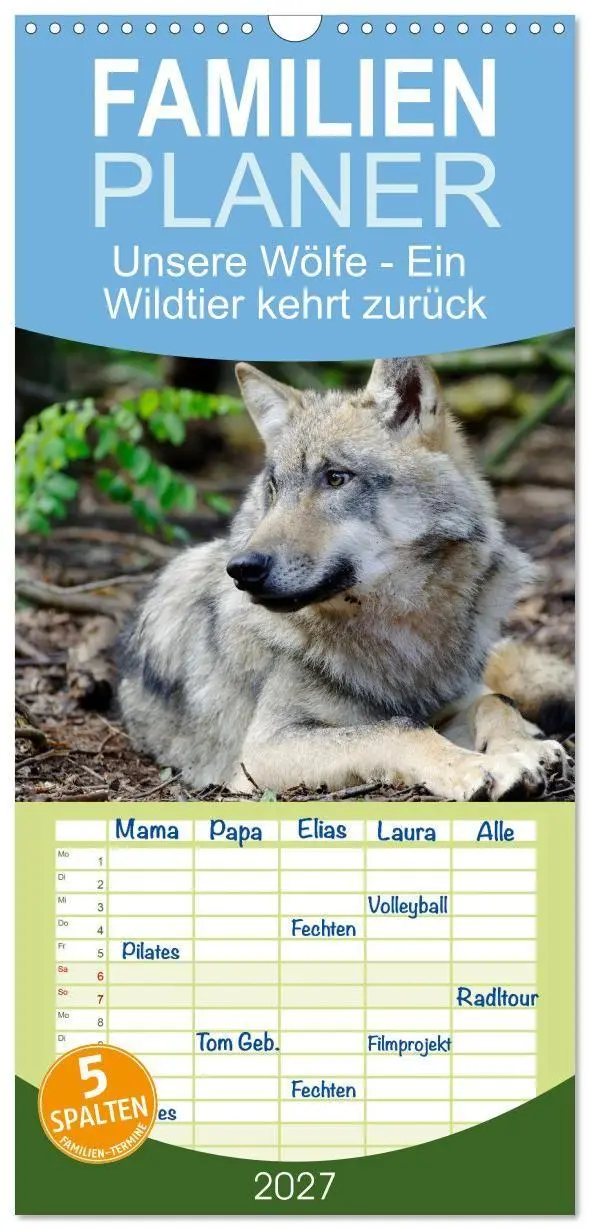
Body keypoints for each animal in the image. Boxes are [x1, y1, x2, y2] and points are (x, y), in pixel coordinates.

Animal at [118, 358, 574, 801]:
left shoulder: (452, 698)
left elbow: (495, 701)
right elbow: (400, 728)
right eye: (274, 489)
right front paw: (480, 767)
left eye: (336, 478)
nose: (242, 568)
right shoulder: (263, 751)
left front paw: (523, 748)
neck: (401, 632)